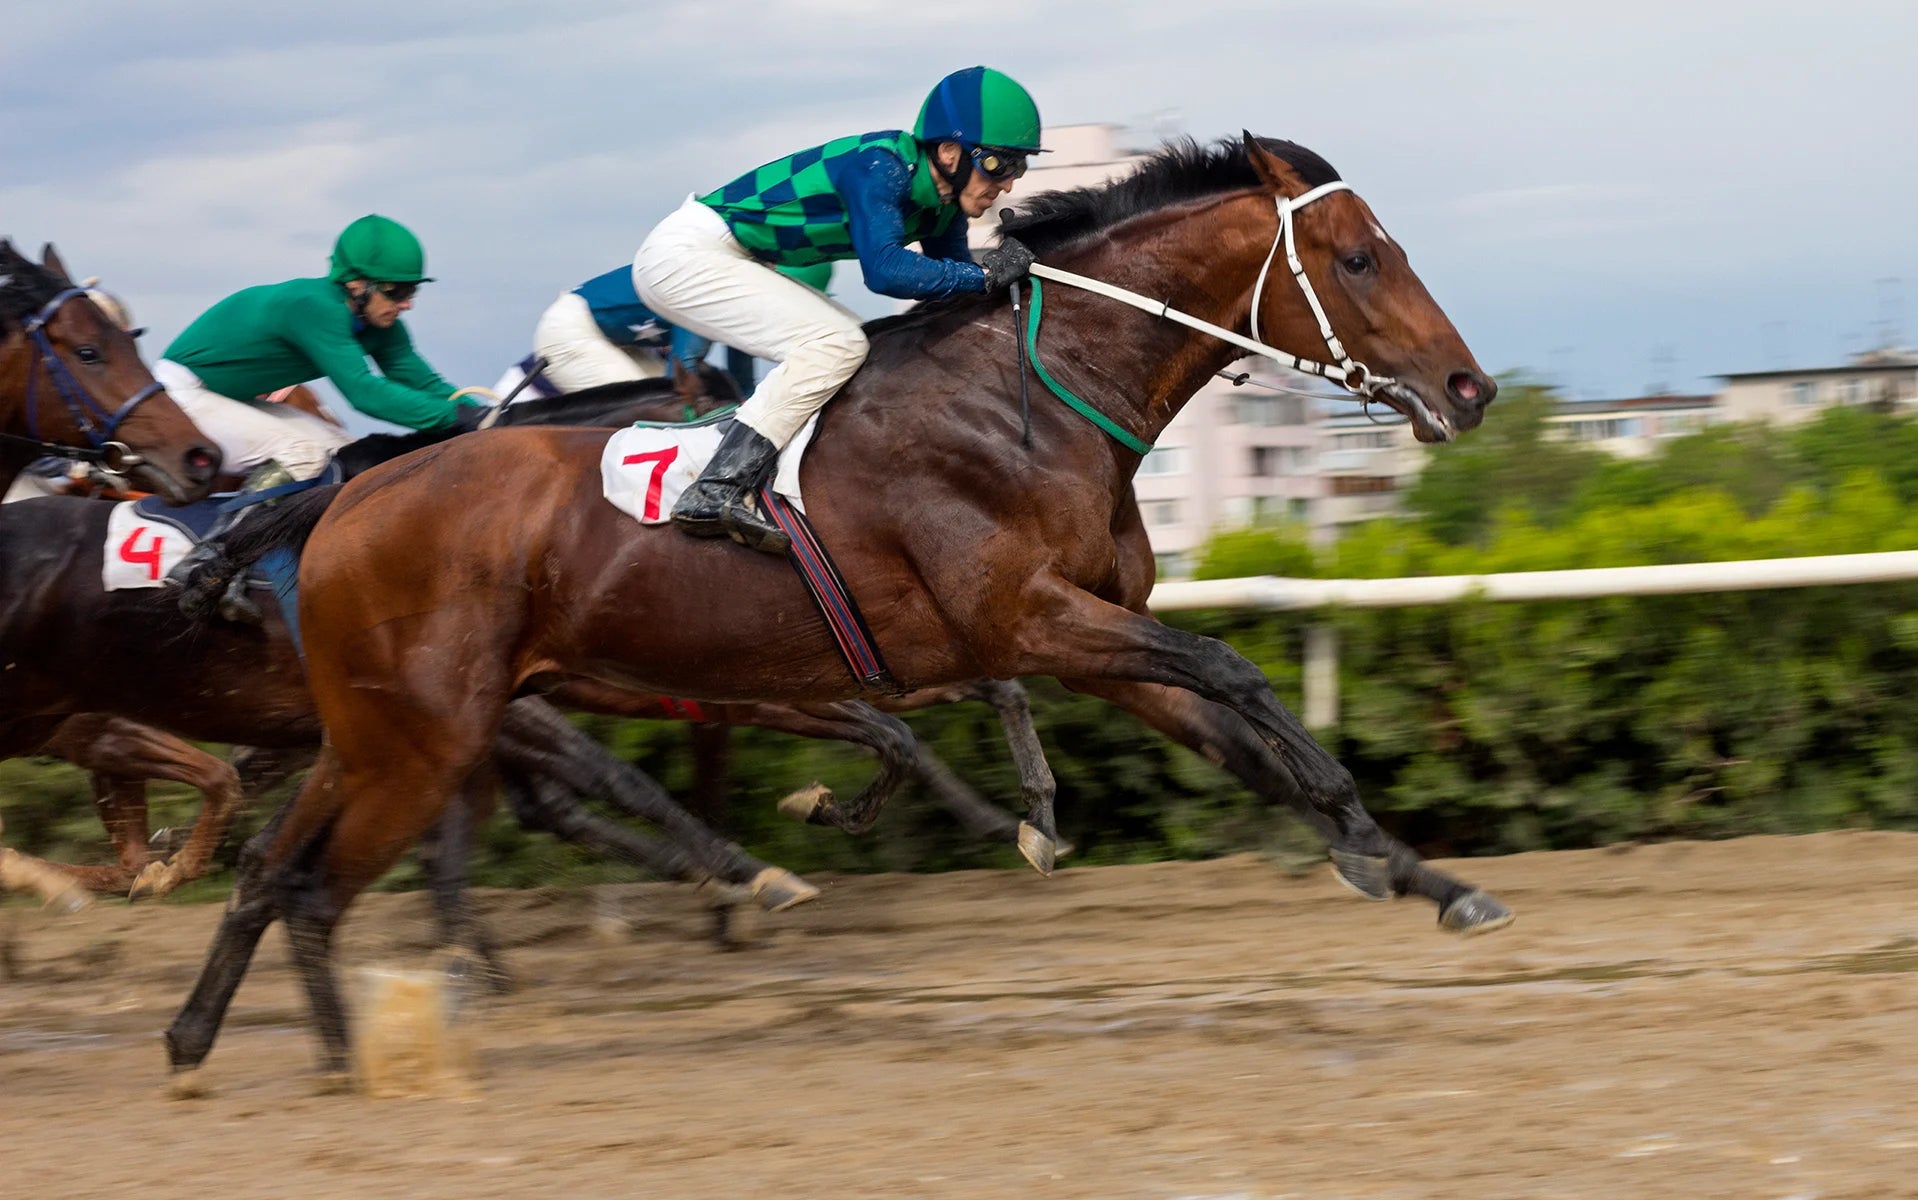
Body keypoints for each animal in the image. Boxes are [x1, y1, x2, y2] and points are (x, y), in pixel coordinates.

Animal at [164, 134, 1509, 1082]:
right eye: (1358, 257)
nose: (1470, 389)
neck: (1032, 393)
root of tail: (346, 493)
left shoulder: (1086, 645)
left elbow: (1237, 733)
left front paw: (1420, 874)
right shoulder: (1027, 619)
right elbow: (1236, 672)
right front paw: (1362, 841)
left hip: (377, 731)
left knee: (270, 874)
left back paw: (196, 1043)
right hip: (425, 740)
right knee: (318, 888)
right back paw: (357, 1072)